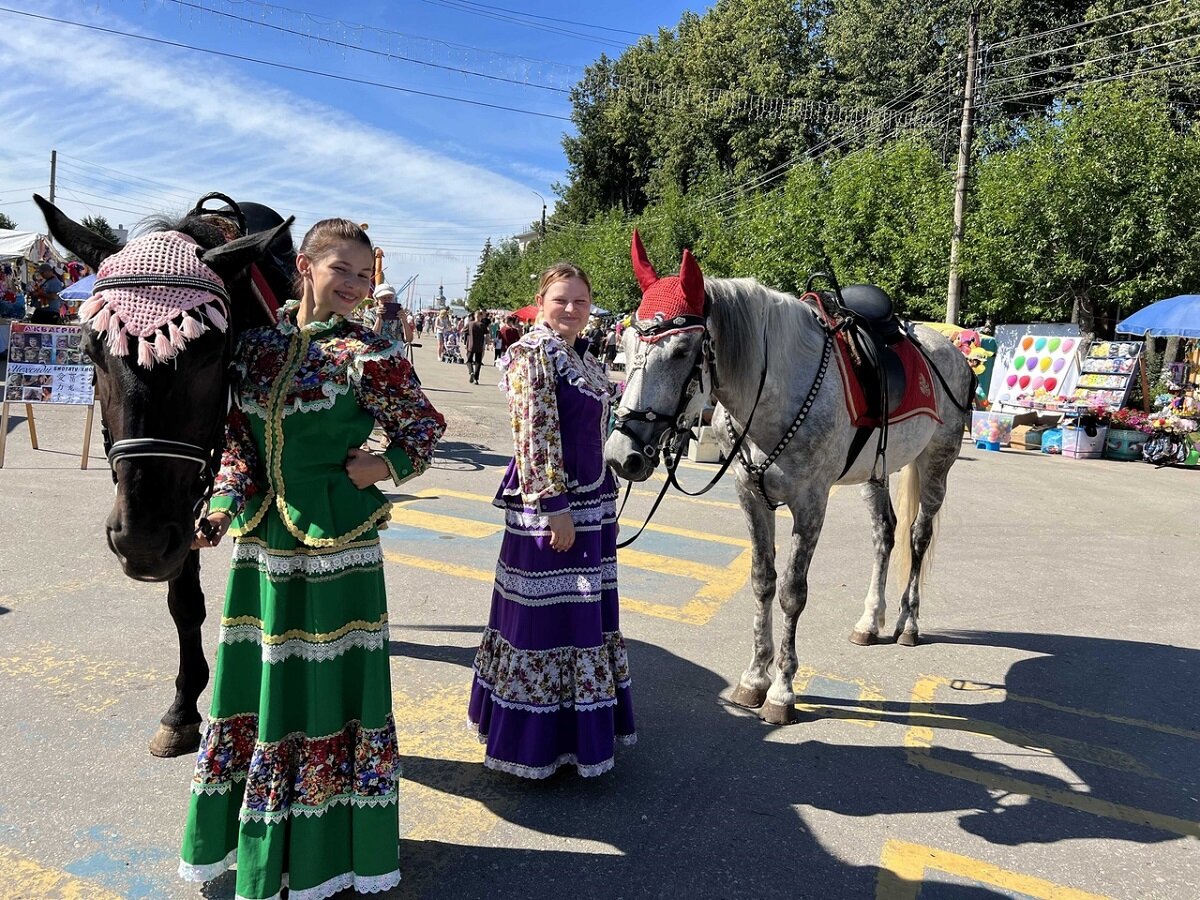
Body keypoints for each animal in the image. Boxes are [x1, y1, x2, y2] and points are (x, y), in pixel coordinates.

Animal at [38, 194, 292, 758]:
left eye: (212, 355)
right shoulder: (180, 515)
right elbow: (184, 602)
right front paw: (182, 706)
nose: (140, 542)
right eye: (90, 351)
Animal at [609, 243, 974, 729]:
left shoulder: (811, 504)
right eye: (626, 345)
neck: (776, 394)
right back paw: (869, 621)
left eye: (683, 349)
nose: (621, 454)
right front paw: (754, 677)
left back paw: (908, 623)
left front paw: (782, 691)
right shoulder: (751, 496)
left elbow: (792, 594)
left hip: (937, 462)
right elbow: (763, 581)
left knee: (918, 535)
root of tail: (950, 350)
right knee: (885, 534)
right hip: (875, 474)